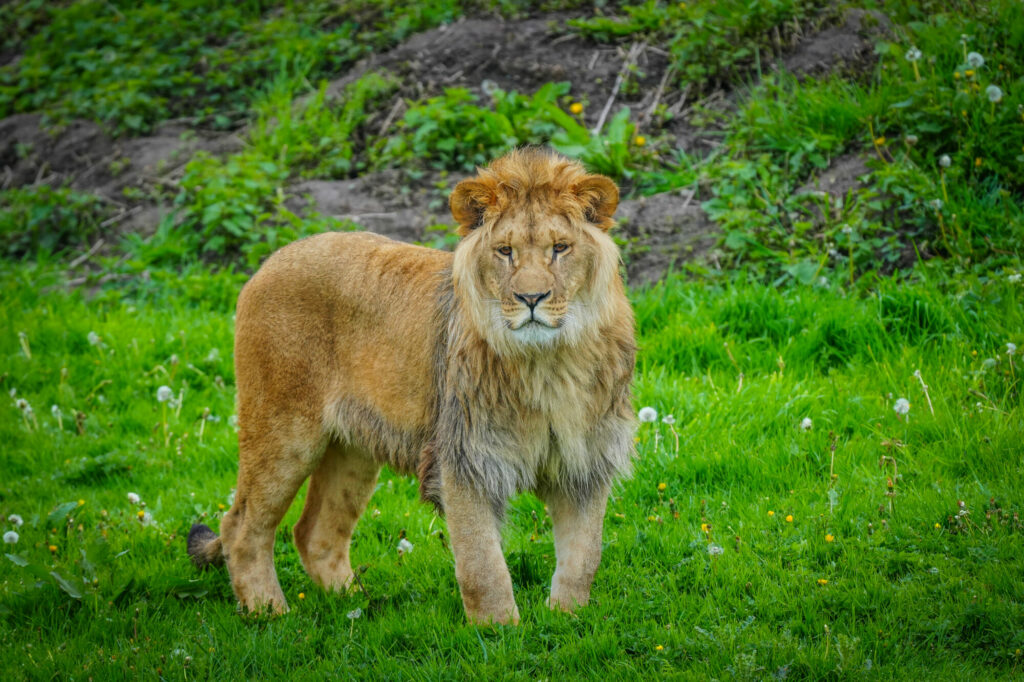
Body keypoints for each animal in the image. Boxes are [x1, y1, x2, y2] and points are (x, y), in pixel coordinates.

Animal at [187, 147, 636, 625]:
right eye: (505, 252)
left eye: (560, 248)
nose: (531, 299)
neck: (547, 364)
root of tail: (268, 263)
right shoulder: (465, 460)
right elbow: (482, 564)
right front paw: (500, 631)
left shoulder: (585, 462)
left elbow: (583, 556)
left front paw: (567, 619)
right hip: (282, 431)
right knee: (241, 526)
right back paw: (270, 612)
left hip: (352, 450)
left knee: (314, 531)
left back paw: (357, 604)